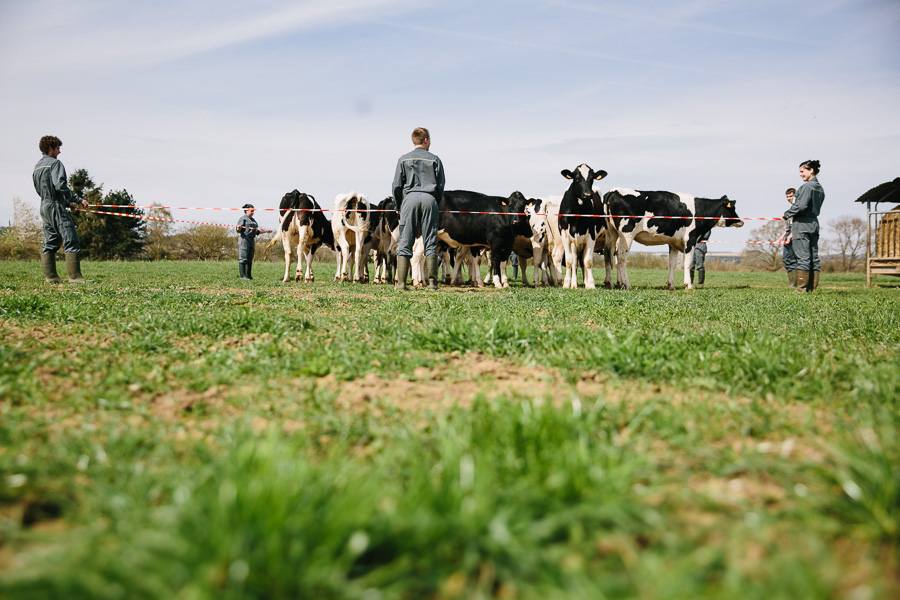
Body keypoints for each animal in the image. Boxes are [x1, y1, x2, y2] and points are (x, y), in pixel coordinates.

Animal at [604, 189, 744, 290]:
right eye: (732, 208)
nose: (741, 221)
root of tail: (615, 191)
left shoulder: (674, 243)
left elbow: (672, 264)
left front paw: (671, 285)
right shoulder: (690, 239)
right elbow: (687, 263)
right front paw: (688, 285)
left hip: (612, 234)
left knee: (609, 256)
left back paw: (611, 283)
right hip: (626, 234)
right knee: (621, 258)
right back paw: (626, 284)